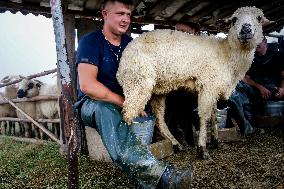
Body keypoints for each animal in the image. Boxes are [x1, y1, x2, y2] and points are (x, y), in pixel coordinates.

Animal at [116, 6, 268, 159]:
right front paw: (202, 149)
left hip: (157, 90)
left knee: (158, 119)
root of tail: (124, 57)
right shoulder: (208, 86)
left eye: (259, 18)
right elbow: (205, 116)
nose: (246, 29)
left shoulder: (214, 87)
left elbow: (214, 115)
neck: (227, 55)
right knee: (128, 114)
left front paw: (216, 141)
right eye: (234, 19)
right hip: (138, 82)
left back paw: (176, 144)